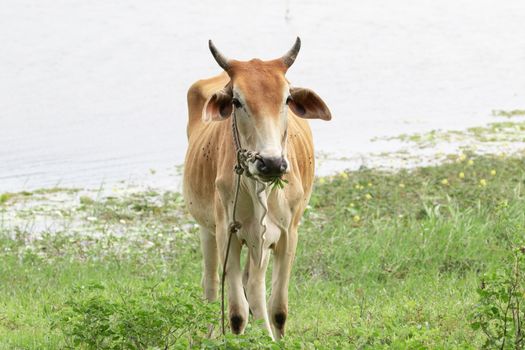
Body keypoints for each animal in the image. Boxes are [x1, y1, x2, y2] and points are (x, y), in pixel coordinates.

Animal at [184, 37, 330, 340]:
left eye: (287, 98)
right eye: (237, 101)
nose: (271, 162)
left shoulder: (287, 235)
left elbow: (278, 309)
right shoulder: (227, 233)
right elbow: (237, 314)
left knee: (254, 286)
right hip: (207, 229)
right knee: (211, 284)